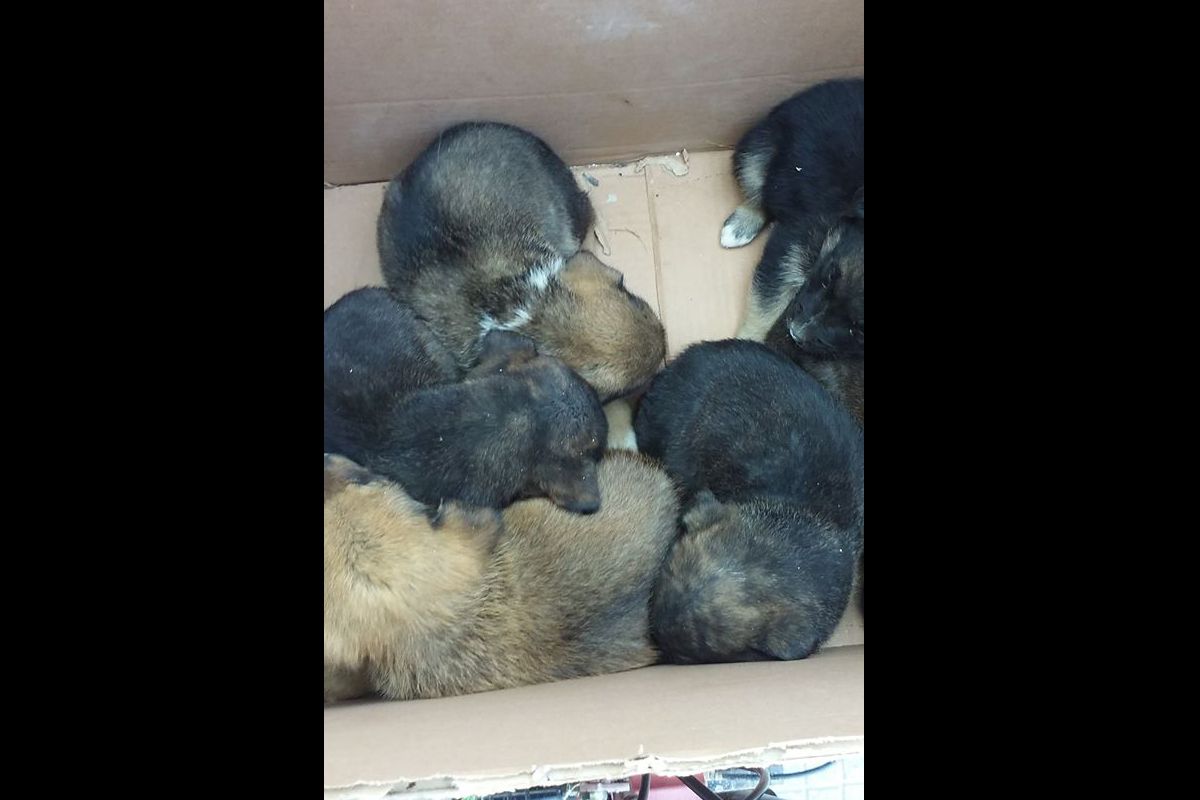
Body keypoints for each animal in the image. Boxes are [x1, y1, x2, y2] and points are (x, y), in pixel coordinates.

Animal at [720, 79, 864, 351]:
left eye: (857, 329)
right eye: (828, 278)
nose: (795, 332)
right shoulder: (789, 247)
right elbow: (763, 307)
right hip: (758, 150)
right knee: (757, 189)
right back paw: (740, 226)